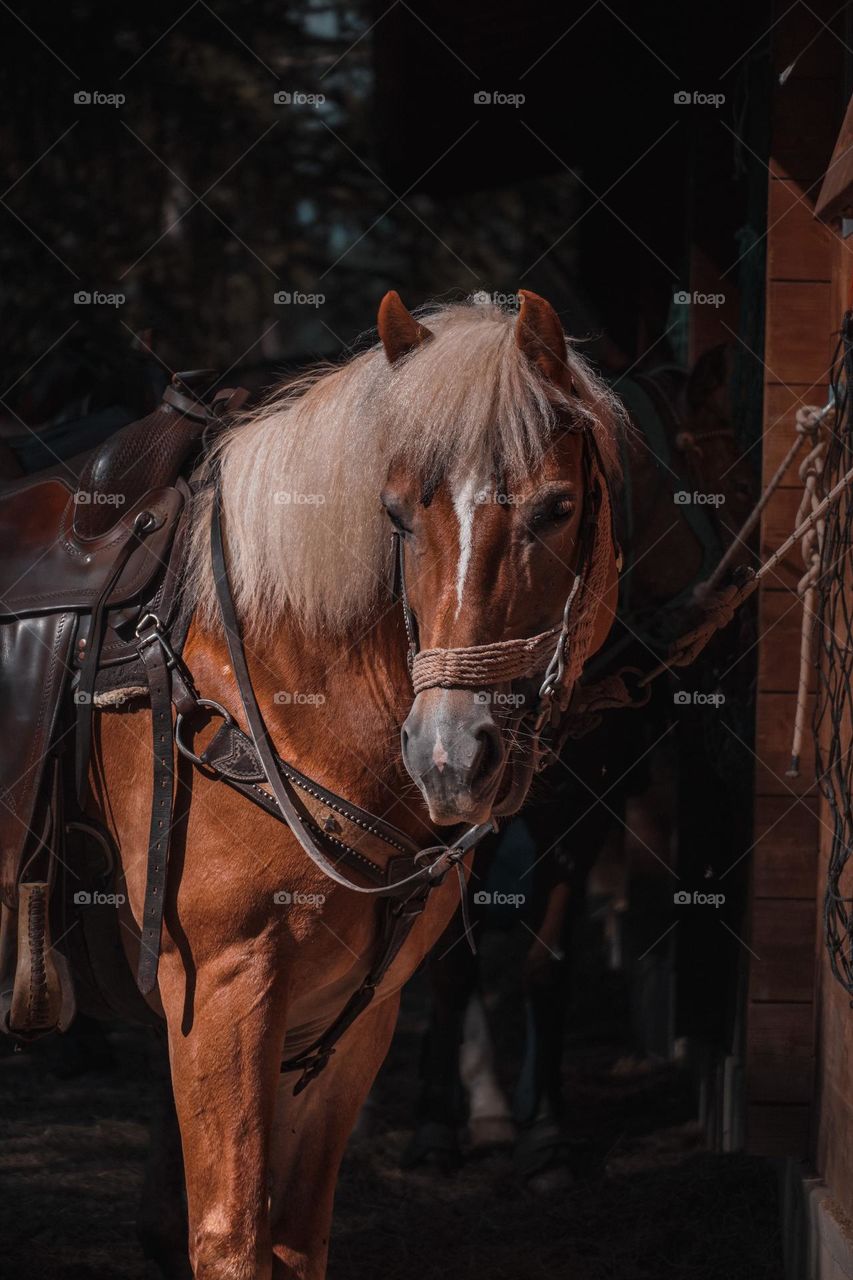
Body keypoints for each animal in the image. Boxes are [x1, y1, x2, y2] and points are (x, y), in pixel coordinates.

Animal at [77, 290, 625, 1277]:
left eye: (557, 508)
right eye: (396, 517)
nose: (449, 755)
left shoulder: (352, 1016)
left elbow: (295, 1238)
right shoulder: (222, 993)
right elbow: (231, 1239)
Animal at [403, 342, 759, 1185]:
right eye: (734, 478)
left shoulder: (584, 806)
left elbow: (546, 961)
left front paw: (546, 1129)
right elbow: (450, 964)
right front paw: (433, 1123)